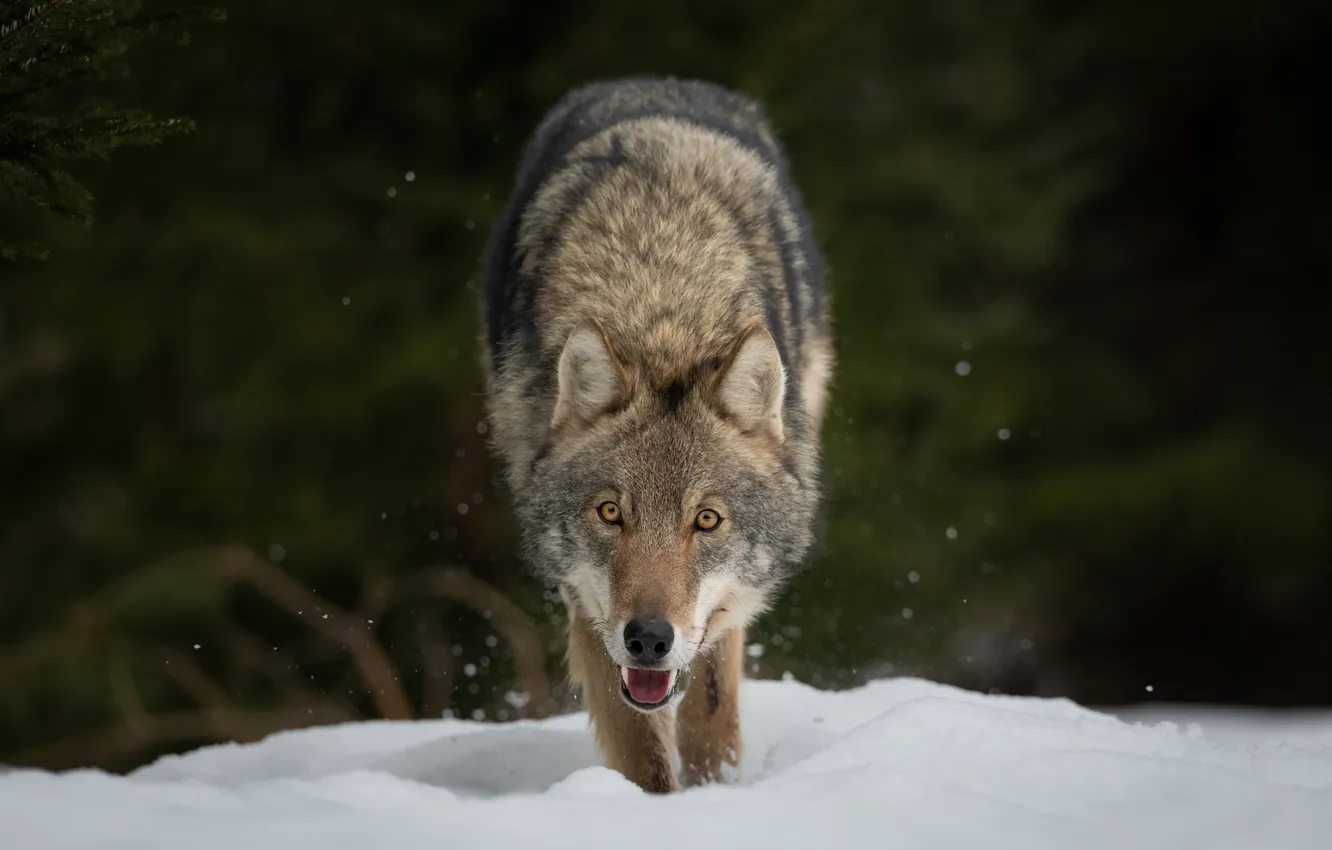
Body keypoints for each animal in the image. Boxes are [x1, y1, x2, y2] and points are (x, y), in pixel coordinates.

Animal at [478, 77, 832, 793]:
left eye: (707, 520)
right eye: (610, 514)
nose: (648, 638)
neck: (661, 305)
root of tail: (652, 80)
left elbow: (709, 712)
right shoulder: (586, 601)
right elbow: (637, 742)